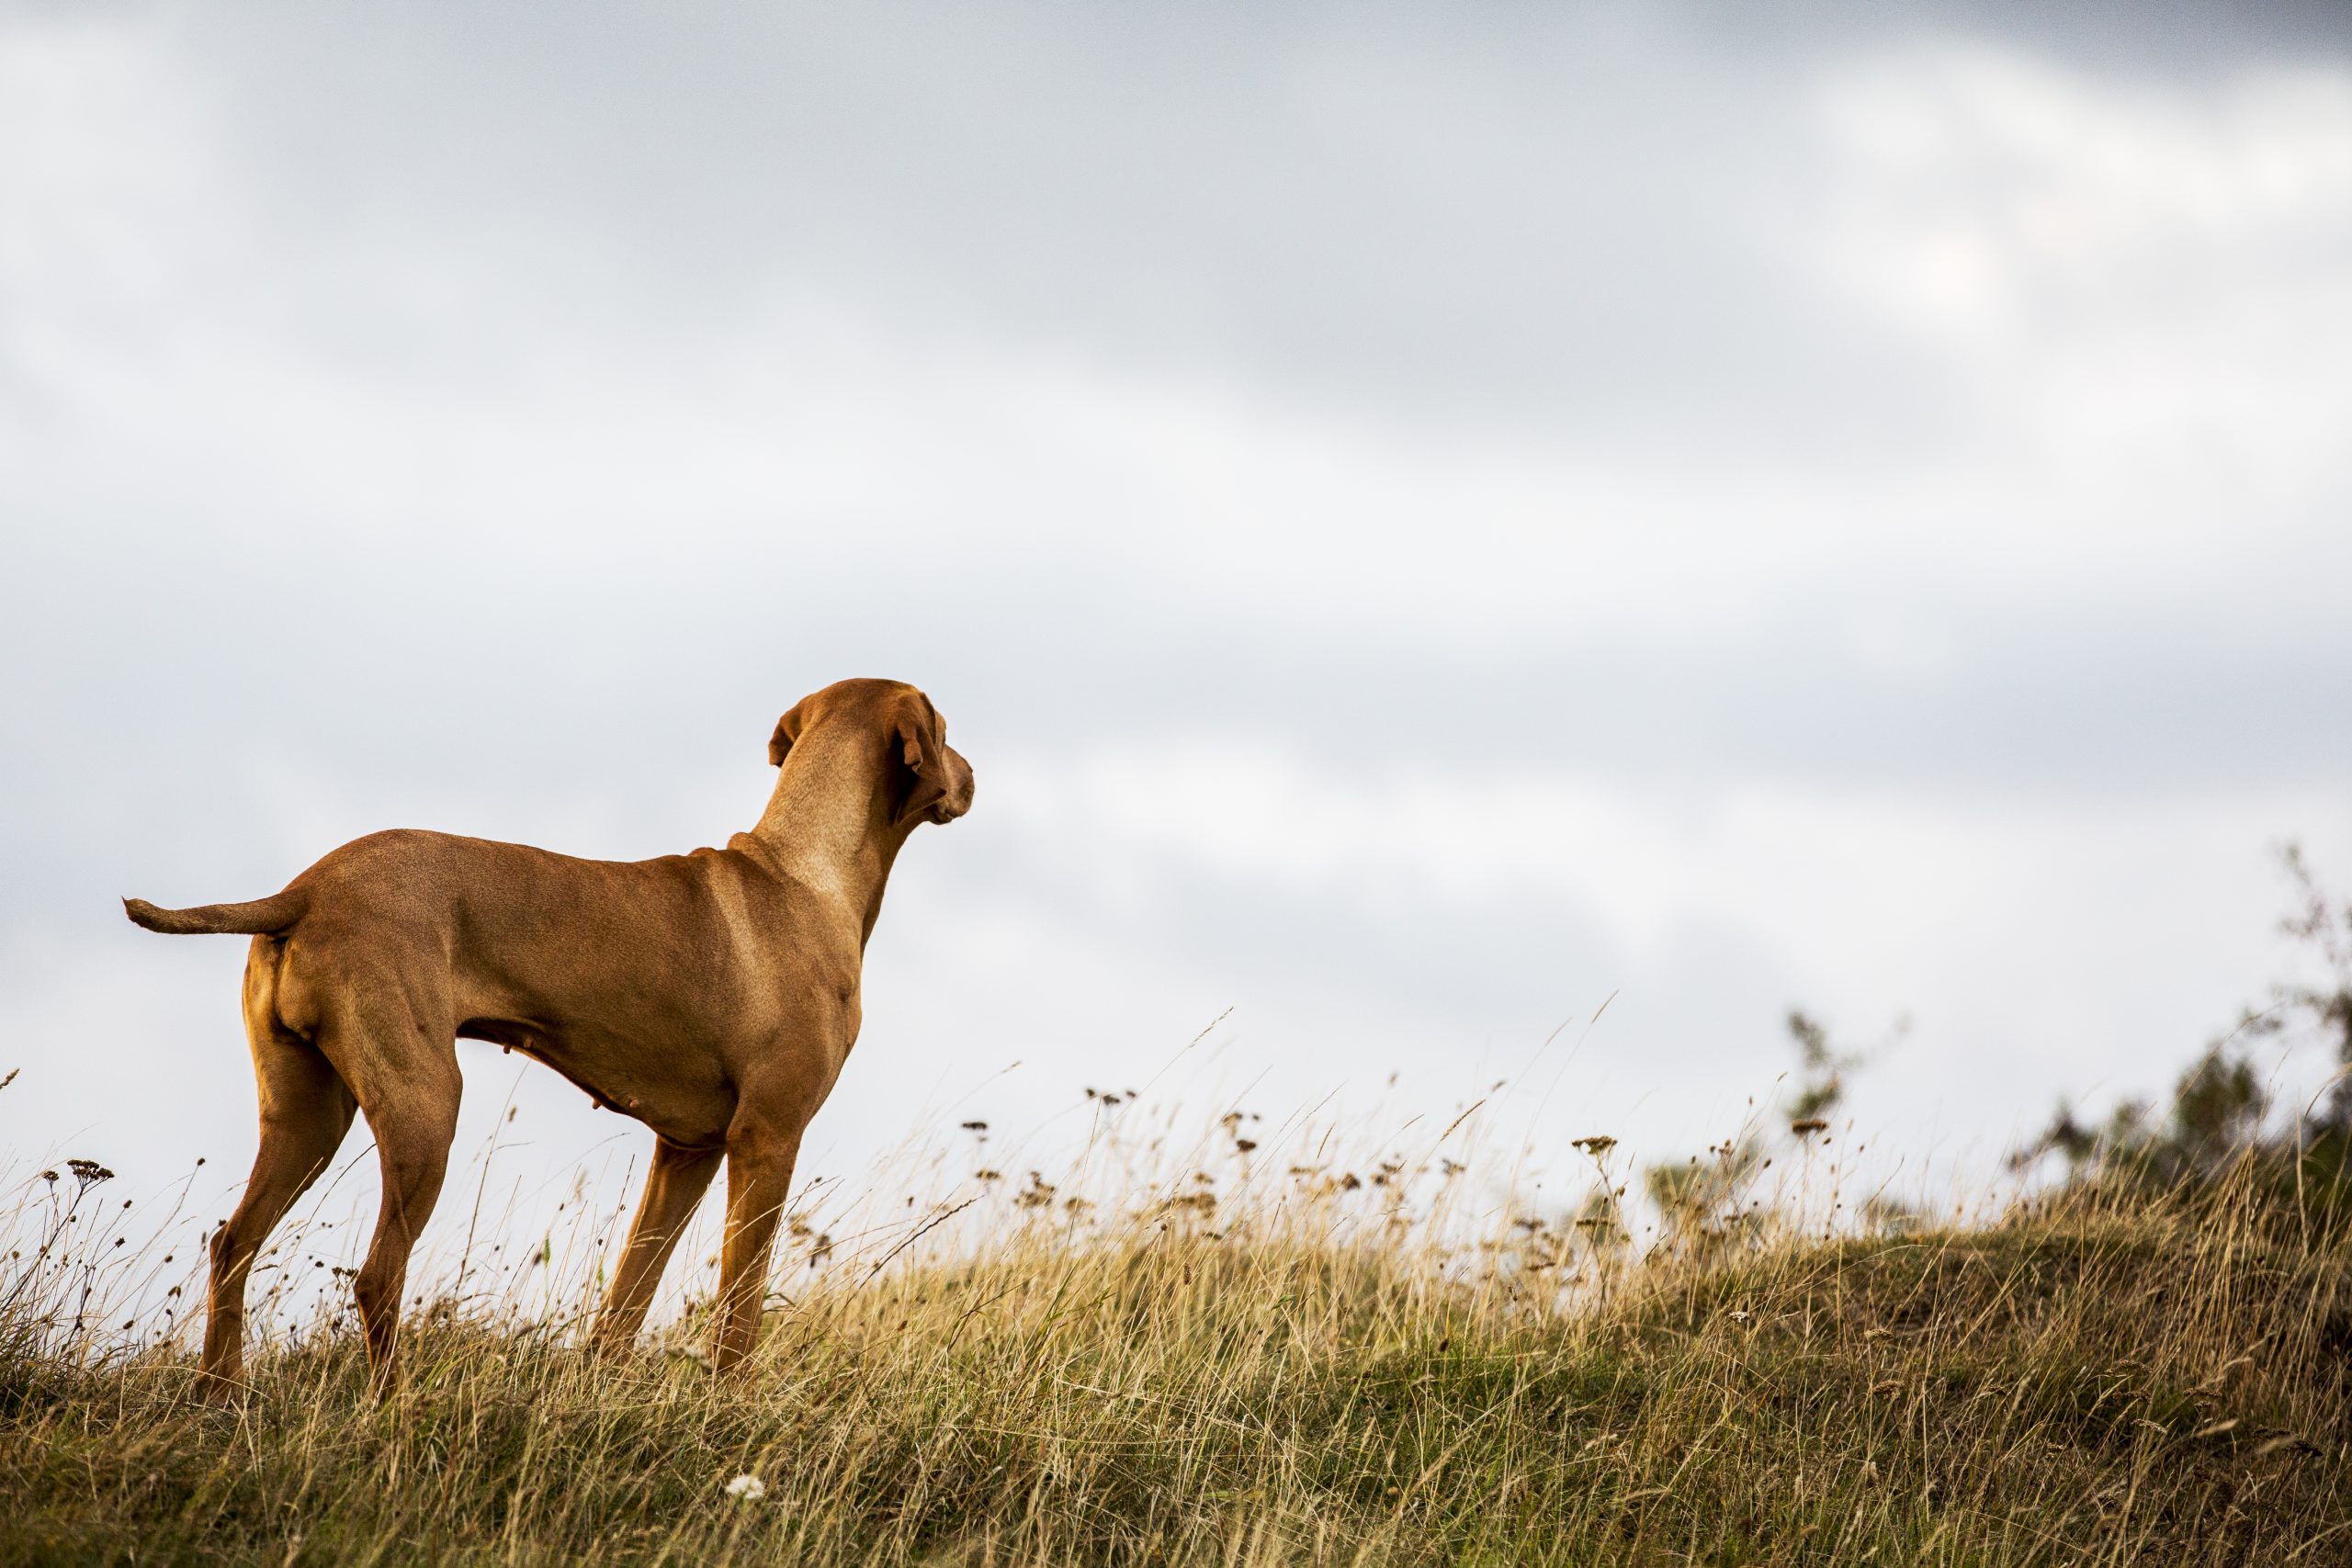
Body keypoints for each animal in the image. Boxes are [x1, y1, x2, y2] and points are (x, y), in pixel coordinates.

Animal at [124, 682, 968, 1392]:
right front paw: (731, 1404)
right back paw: (393, 1406)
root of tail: (302, 890)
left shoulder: (686, 1149)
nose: (971, 773)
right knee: (376, 1275)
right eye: (946, 729)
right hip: (425, 1109)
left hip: (306, 1119)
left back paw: (220, 1396)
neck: (804, 875)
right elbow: (740, 1303)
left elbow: (628, 1296)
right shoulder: (769, 1138)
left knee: (232, 1245)